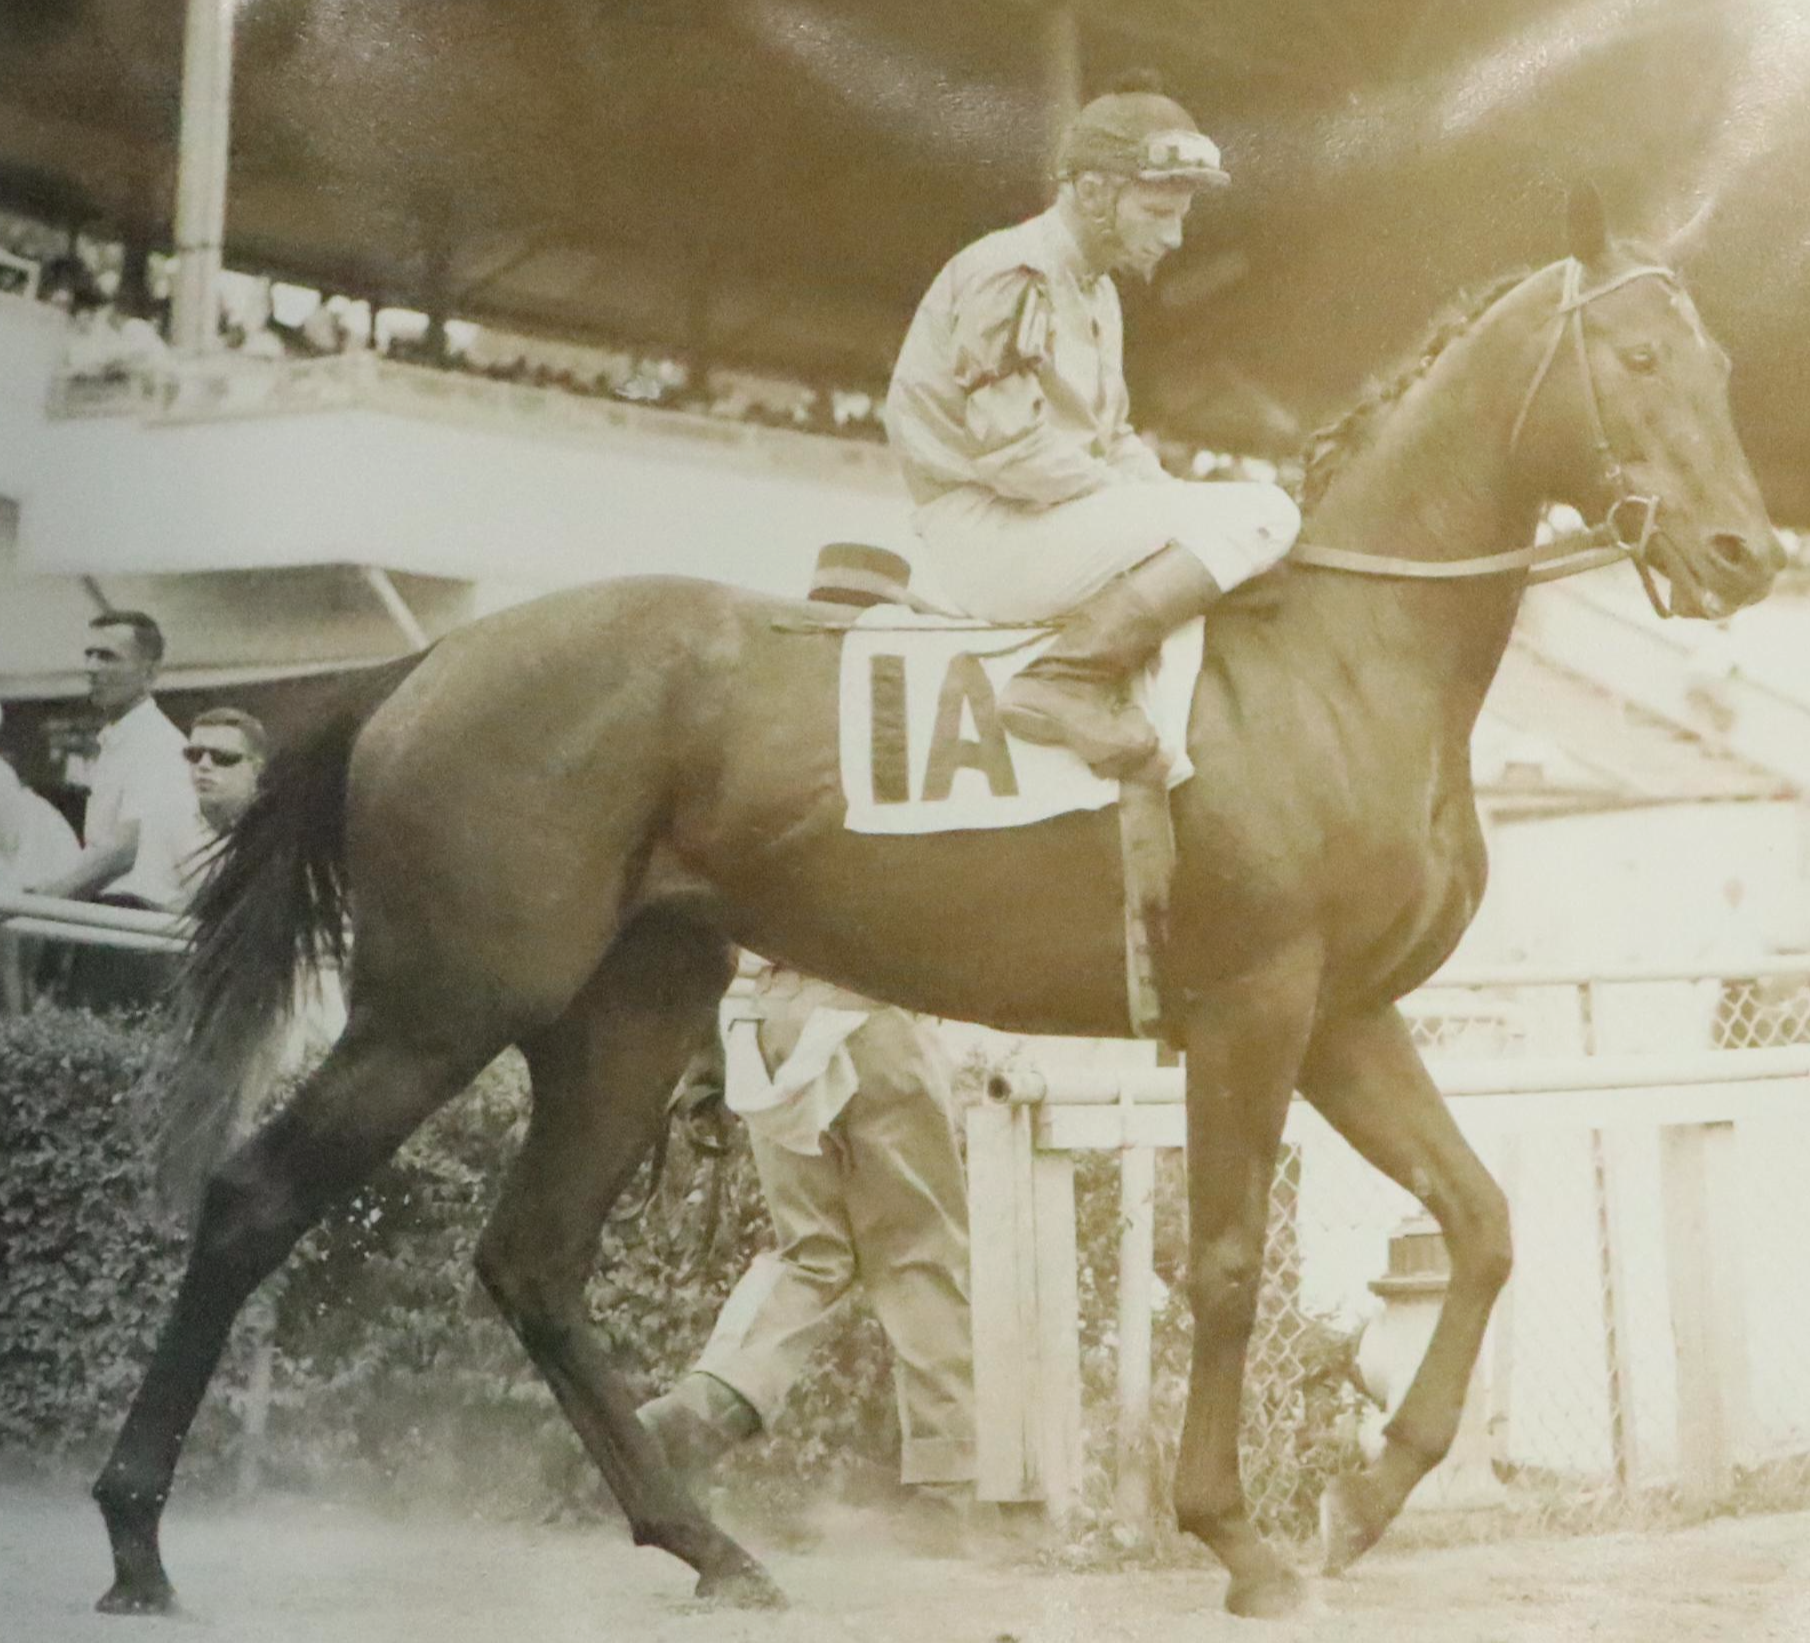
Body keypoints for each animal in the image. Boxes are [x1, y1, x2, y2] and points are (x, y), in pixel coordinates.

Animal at [92, 187, 1780, 1622]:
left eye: (1717, 361)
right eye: (1635, 357)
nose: (1746, 554)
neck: (1334, 654)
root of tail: (425, 660)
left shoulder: (1346, 1011)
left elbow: (1482, 1221)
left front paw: (1359, 1501)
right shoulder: (1252, 1003)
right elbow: (1229, 1259)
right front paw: (1237, 1534)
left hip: (630, 1001)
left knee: (532, 1256)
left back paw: (709, 1544)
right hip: (447, 999)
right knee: (255, 1197)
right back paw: (136, 1535)